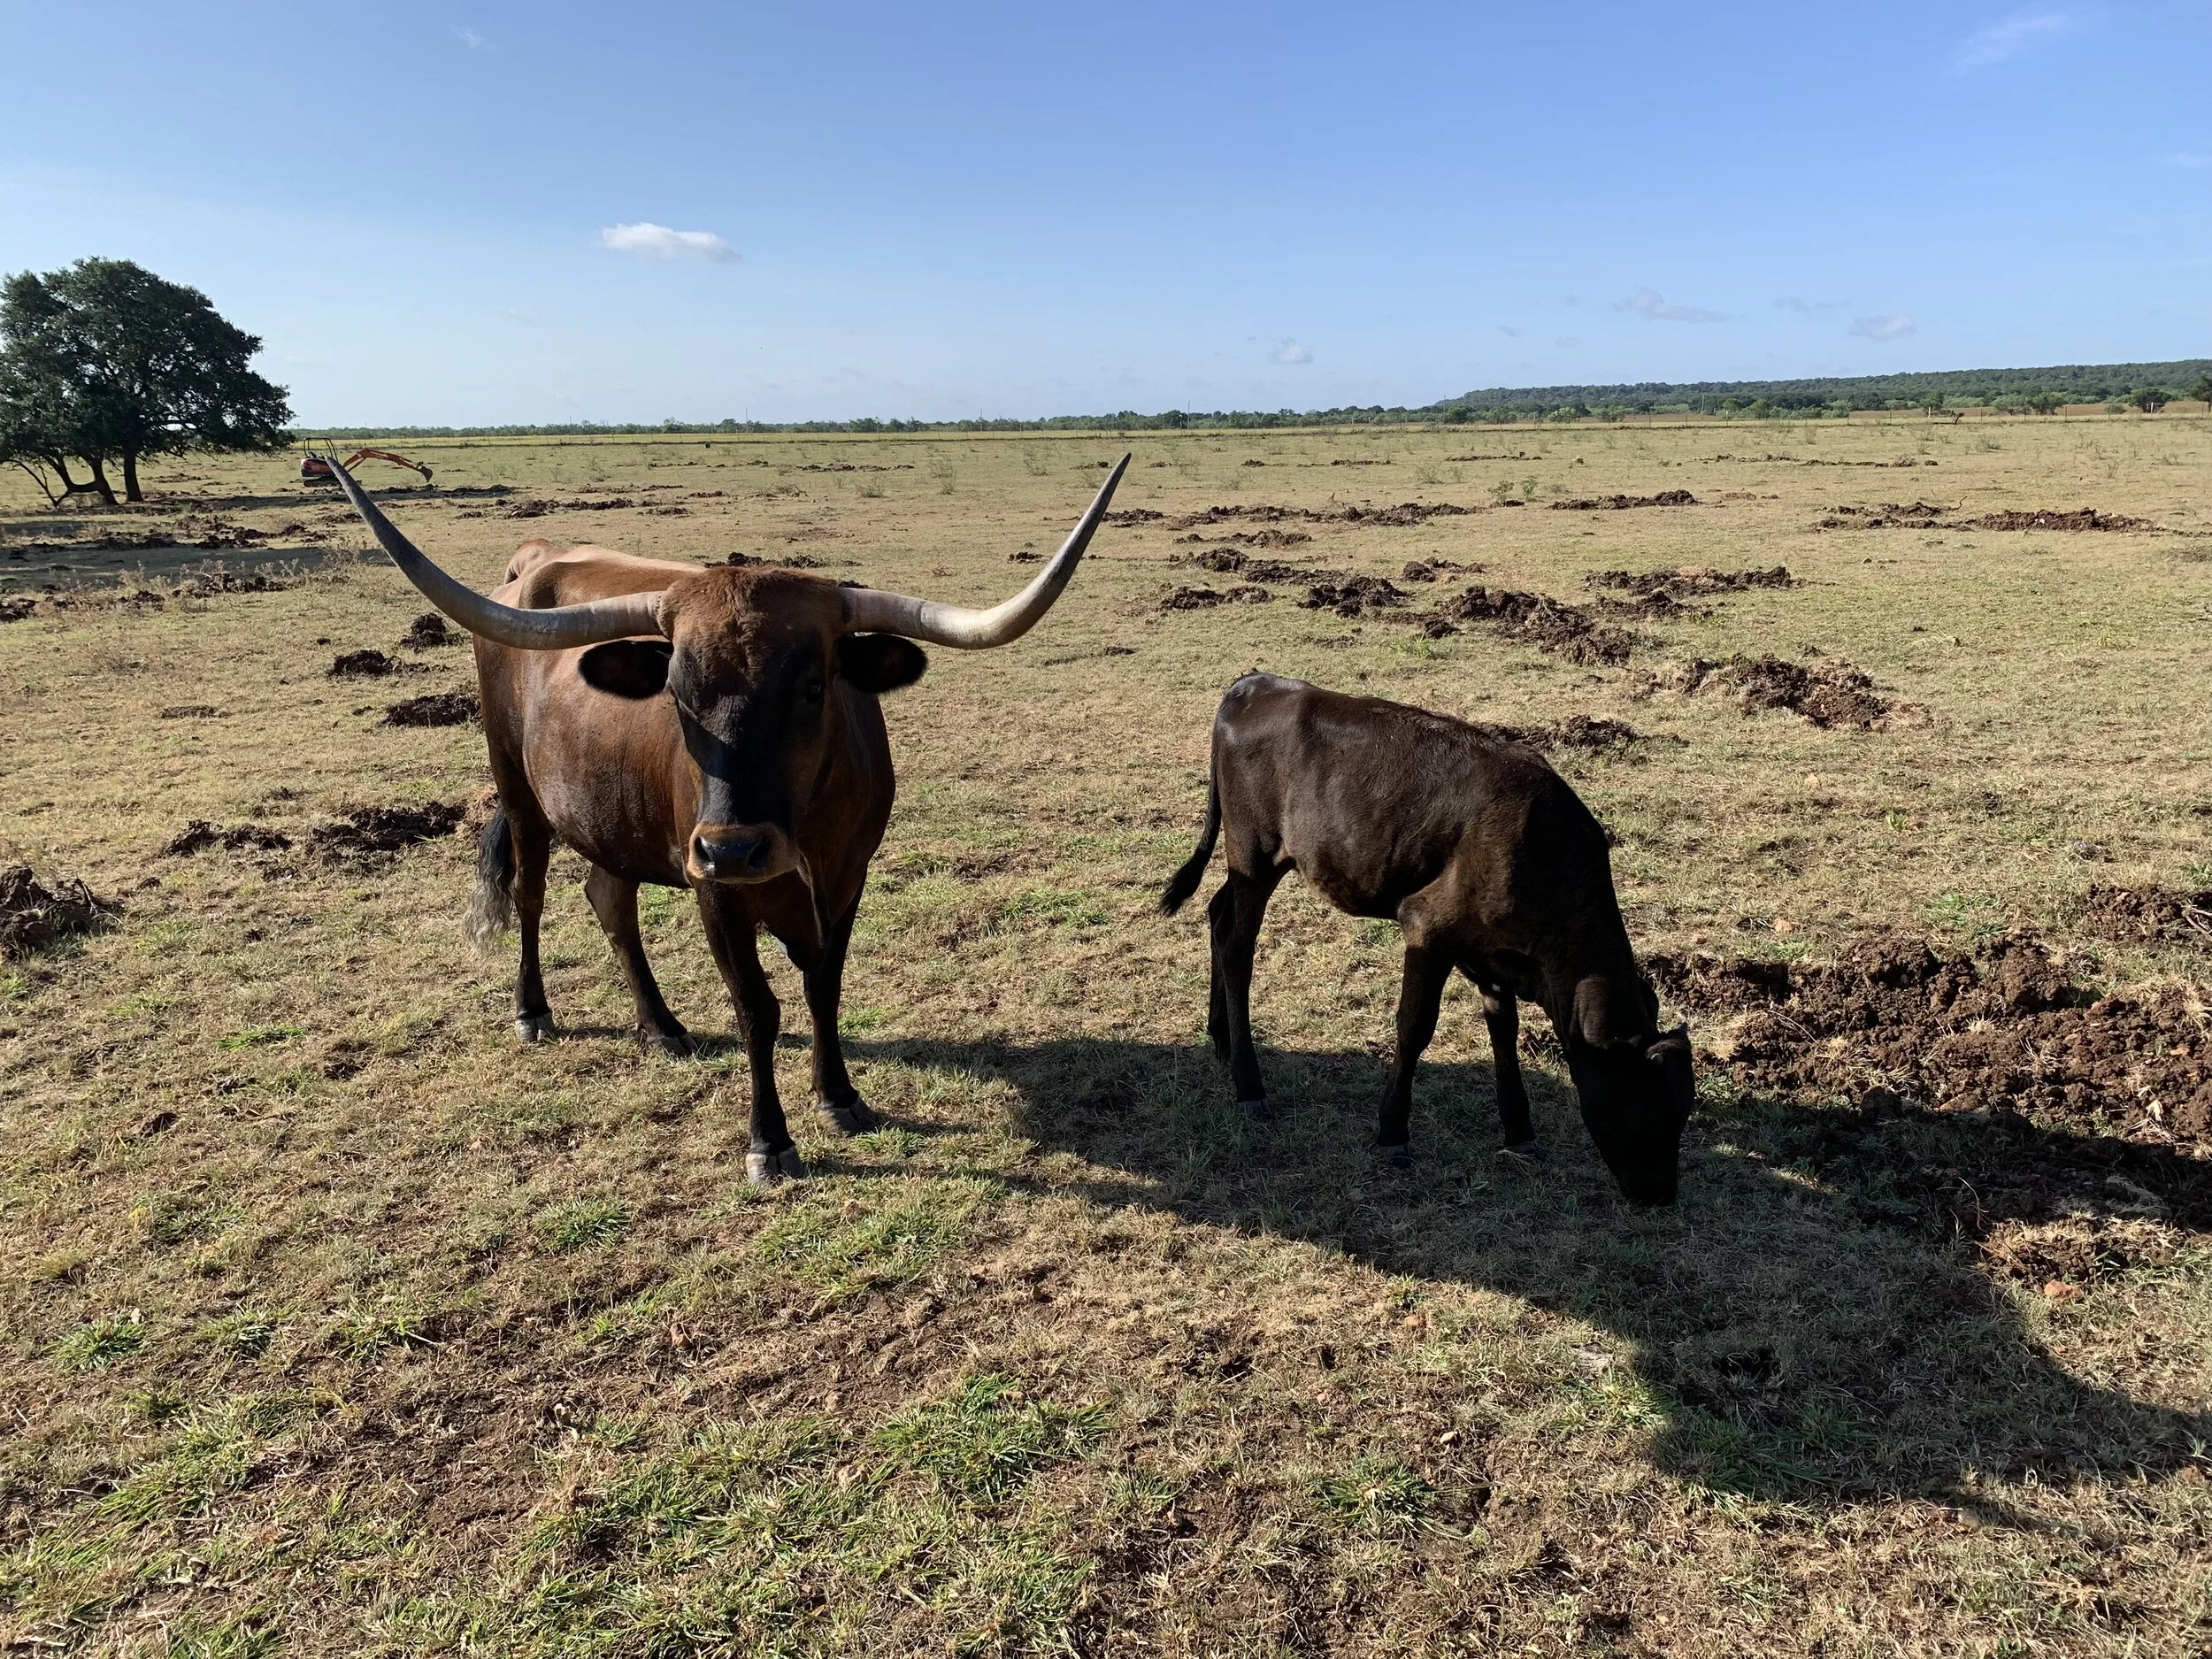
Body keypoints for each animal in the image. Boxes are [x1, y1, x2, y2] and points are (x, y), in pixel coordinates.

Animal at [321, 453, 1128, 1184]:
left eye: (812, 686)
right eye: (677, 692)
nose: (736, 849)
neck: (801, 835)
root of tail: (534, 559)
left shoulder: (849, 878)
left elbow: (824, 986)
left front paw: (840, 1096)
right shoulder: (713, 891)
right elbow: (757, 1008)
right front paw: (769, 1141)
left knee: (609, 899)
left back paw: (661, 1025)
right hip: (519, 789)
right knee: (530, 894)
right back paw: (534, 1011)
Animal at [1159, 673, 1693, 1204]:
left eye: (1683, 1112)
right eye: (1649, 1112)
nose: (1661, 1196)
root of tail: (1254, 683)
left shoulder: (1493, 953)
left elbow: (1504, 1030)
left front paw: (1520, 1131)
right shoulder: (1428, 929)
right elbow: (1416, 1027)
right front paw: (1393, 1131)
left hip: (1261, 863)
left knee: (1218, 916)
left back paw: (1221, 1038)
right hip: (1253, 853)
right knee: (1238, 948)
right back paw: (1249, 1086)